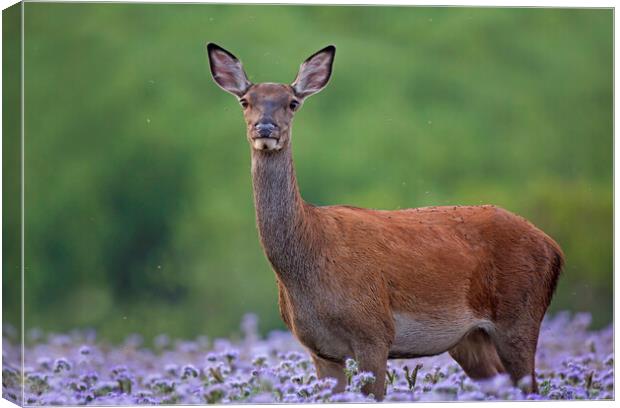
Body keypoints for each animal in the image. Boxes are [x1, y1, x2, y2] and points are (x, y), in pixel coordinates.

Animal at [206, 43, 564, 400]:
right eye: (245, 101)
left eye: (292, 102)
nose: (266, 128)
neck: (311, 257)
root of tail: (554, 248)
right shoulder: (320, 349)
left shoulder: (374, 332)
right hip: (472, 339)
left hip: (519, 316)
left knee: (531, 385)